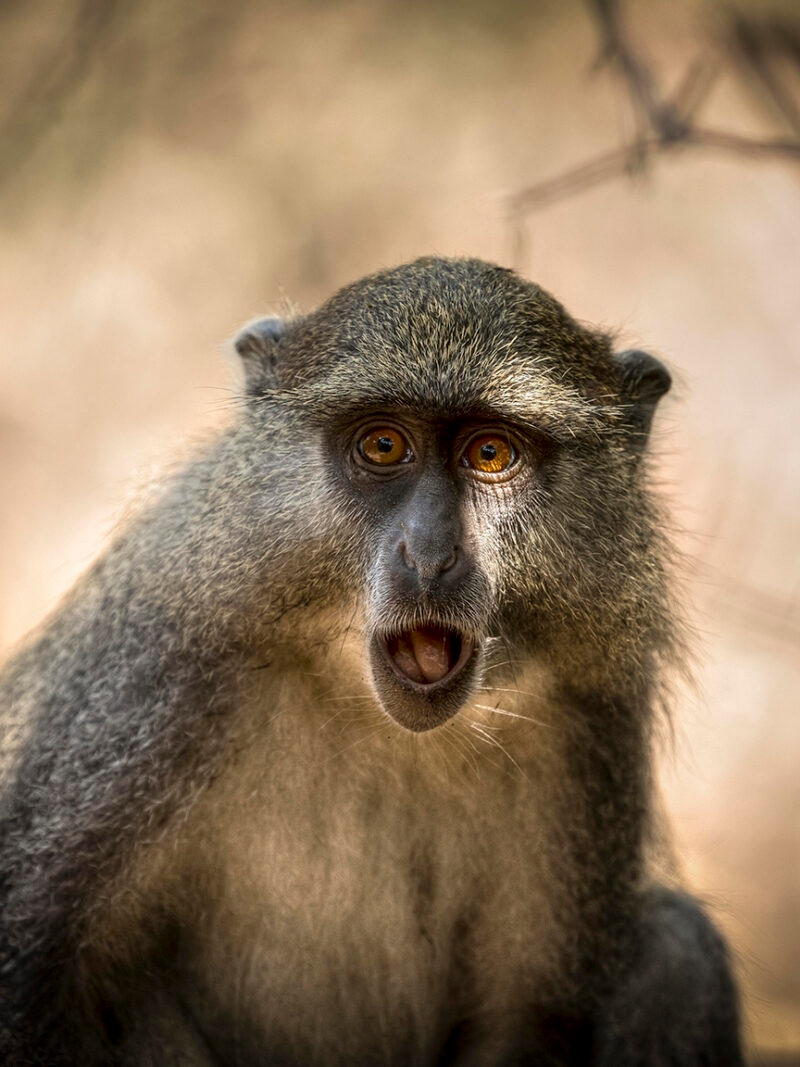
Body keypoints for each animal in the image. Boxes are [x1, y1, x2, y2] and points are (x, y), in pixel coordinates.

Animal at [0, 257, 743, 1066]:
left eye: (491, 454)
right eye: (384, 447)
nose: (431, 554)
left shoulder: (589, 711)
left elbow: (529, 1017)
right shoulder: (161, 669)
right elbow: (35, 965)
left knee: (678, 951)